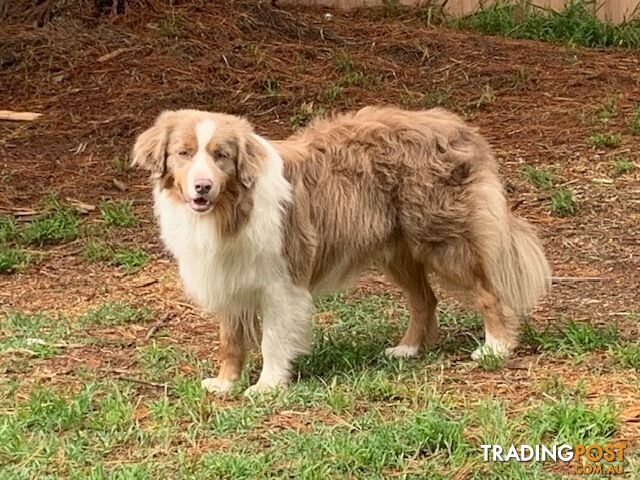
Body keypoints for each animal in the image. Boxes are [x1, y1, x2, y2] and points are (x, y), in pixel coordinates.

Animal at [132, 107, 552, 396]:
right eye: (184, 153)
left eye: (221, 155)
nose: (202, 186)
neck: (231, 210)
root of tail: (455, 125)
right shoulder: (228, 279)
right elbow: (230, 341)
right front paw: (225, 383)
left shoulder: (282, 283)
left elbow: (272, 340)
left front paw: (267, 387)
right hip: (397, 251)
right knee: (424, 299)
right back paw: (408, 349)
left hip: (444, 240)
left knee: (487, 291)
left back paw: (496, 348)